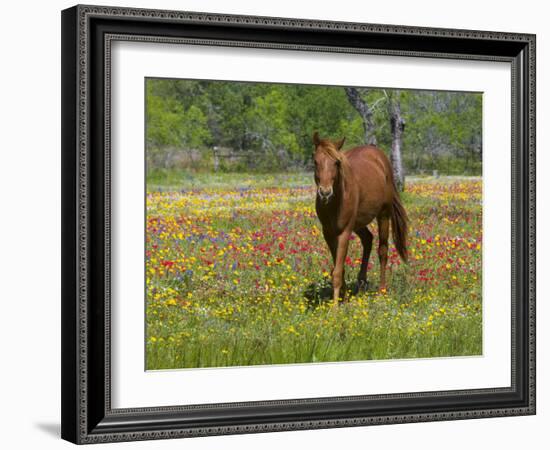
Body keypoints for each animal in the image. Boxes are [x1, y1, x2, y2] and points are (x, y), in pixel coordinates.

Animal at [314, 131, 410, 306]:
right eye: (315, 161)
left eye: (336, 162)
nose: (325, 192)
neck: (336, 201)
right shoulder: (328, 234)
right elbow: (339, 268)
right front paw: (343, 298)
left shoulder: (344, 232)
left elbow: (337, 271)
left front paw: (335, 308)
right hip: (358, 223)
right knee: (368, 239)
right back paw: (362, 281)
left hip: (383, 215)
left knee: (383, 250)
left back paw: (381, 291)